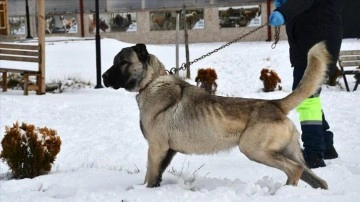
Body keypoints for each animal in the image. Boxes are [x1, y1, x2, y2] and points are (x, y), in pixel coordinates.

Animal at [102, 42, 330, 189]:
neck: (151, 82)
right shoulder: (167, 151)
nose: (103, 77)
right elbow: (156, 177)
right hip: (286, 151)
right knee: (317, 179)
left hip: (255, 149)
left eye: (123, 62)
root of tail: (275, 104)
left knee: (294, 170)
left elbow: (150, 176)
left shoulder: (156, 148)